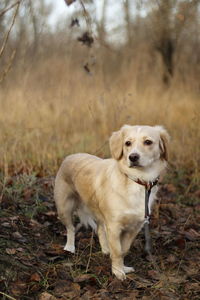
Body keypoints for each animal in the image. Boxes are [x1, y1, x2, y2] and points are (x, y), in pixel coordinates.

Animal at [54, 124, 170, 278]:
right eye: (128, 143)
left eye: (148, 142)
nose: (133, 157)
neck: (136, 179)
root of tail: (71, 155)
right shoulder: (114, 226)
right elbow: (117, 251)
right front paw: (118, 272)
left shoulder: (135, 227)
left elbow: (124, 249)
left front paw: (122, 267)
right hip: (64, 208)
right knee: (71, 228)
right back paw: (70, 247)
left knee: (100, 230)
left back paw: (105, 249)